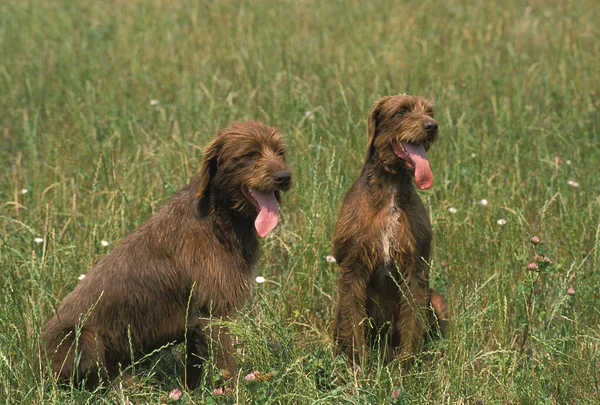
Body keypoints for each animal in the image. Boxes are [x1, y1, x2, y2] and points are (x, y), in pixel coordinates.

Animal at [42, 120, 292, 388]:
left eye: (280, 152)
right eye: (249, 154)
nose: (284, 177)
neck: (218, 218)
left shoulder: (196, 321)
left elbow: (193, 367)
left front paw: (190, 392)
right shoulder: (213, 313)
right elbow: (227, 368)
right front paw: (235, 393)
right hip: (85, 339)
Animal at [332, 96, 450, 368]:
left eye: (429, 111)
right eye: (402, 111)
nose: (432, 126)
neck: (391, 190)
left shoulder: (415, 270)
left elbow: (412, 322)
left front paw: (405, 368)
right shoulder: (353, 271)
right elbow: (354, 324)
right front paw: (360, 368)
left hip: (437, 300)